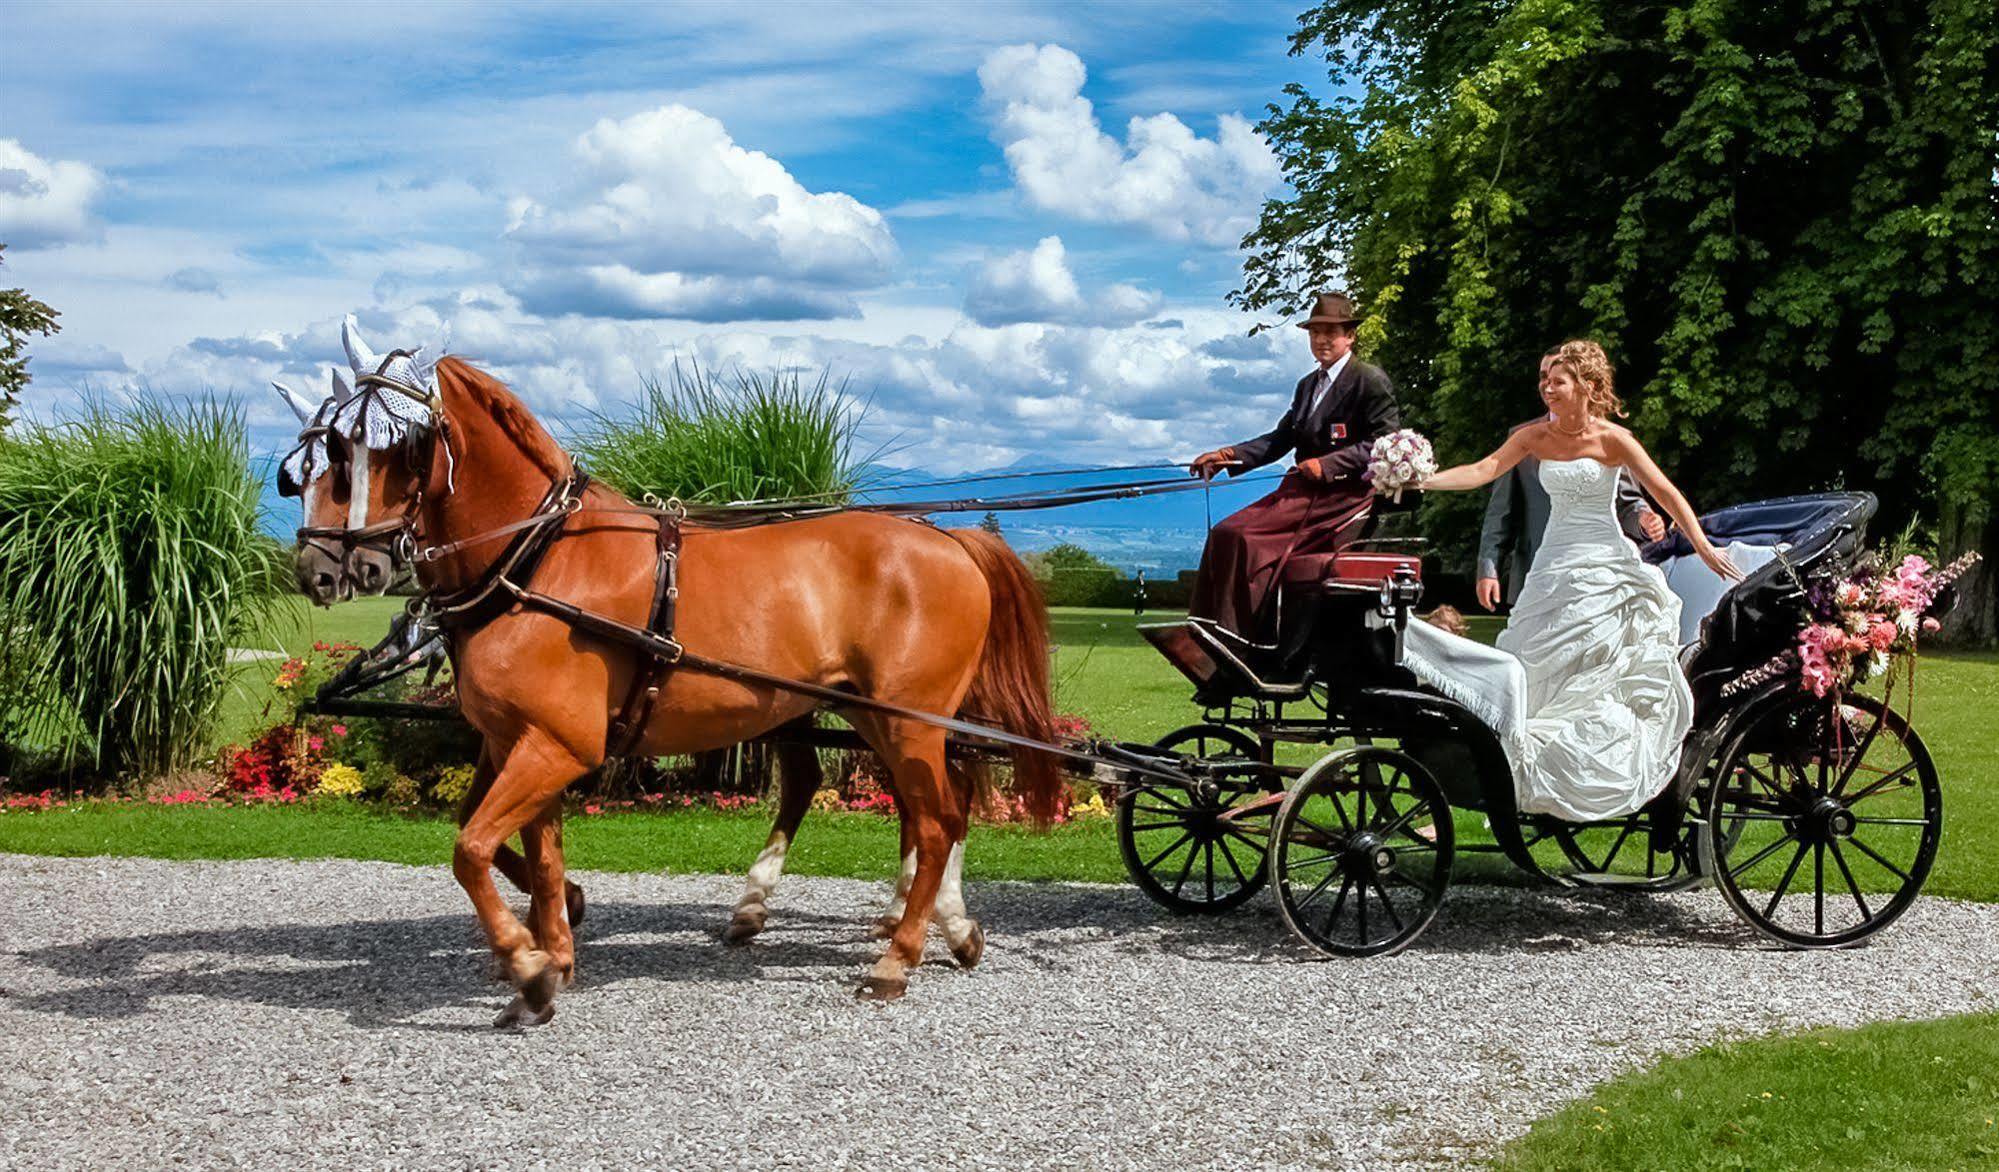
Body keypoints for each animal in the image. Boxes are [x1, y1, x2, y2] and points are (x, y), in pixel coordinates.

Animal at [285, 324, 1063, 1016]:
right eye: (309, 464)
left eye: (372, 448)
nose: (321, 569)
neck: (537, 560)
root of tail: (949, 539)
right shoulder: (523, 742)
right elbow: (535, 854)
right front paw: (553, 950)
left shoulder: (556, 746)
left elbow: (471, 848)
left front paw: (528, 967)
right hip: (873, 717)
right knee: (921, 809)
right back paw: (934, 928)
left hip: (907, 724)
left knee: (935, 823)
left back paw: (895, 958)